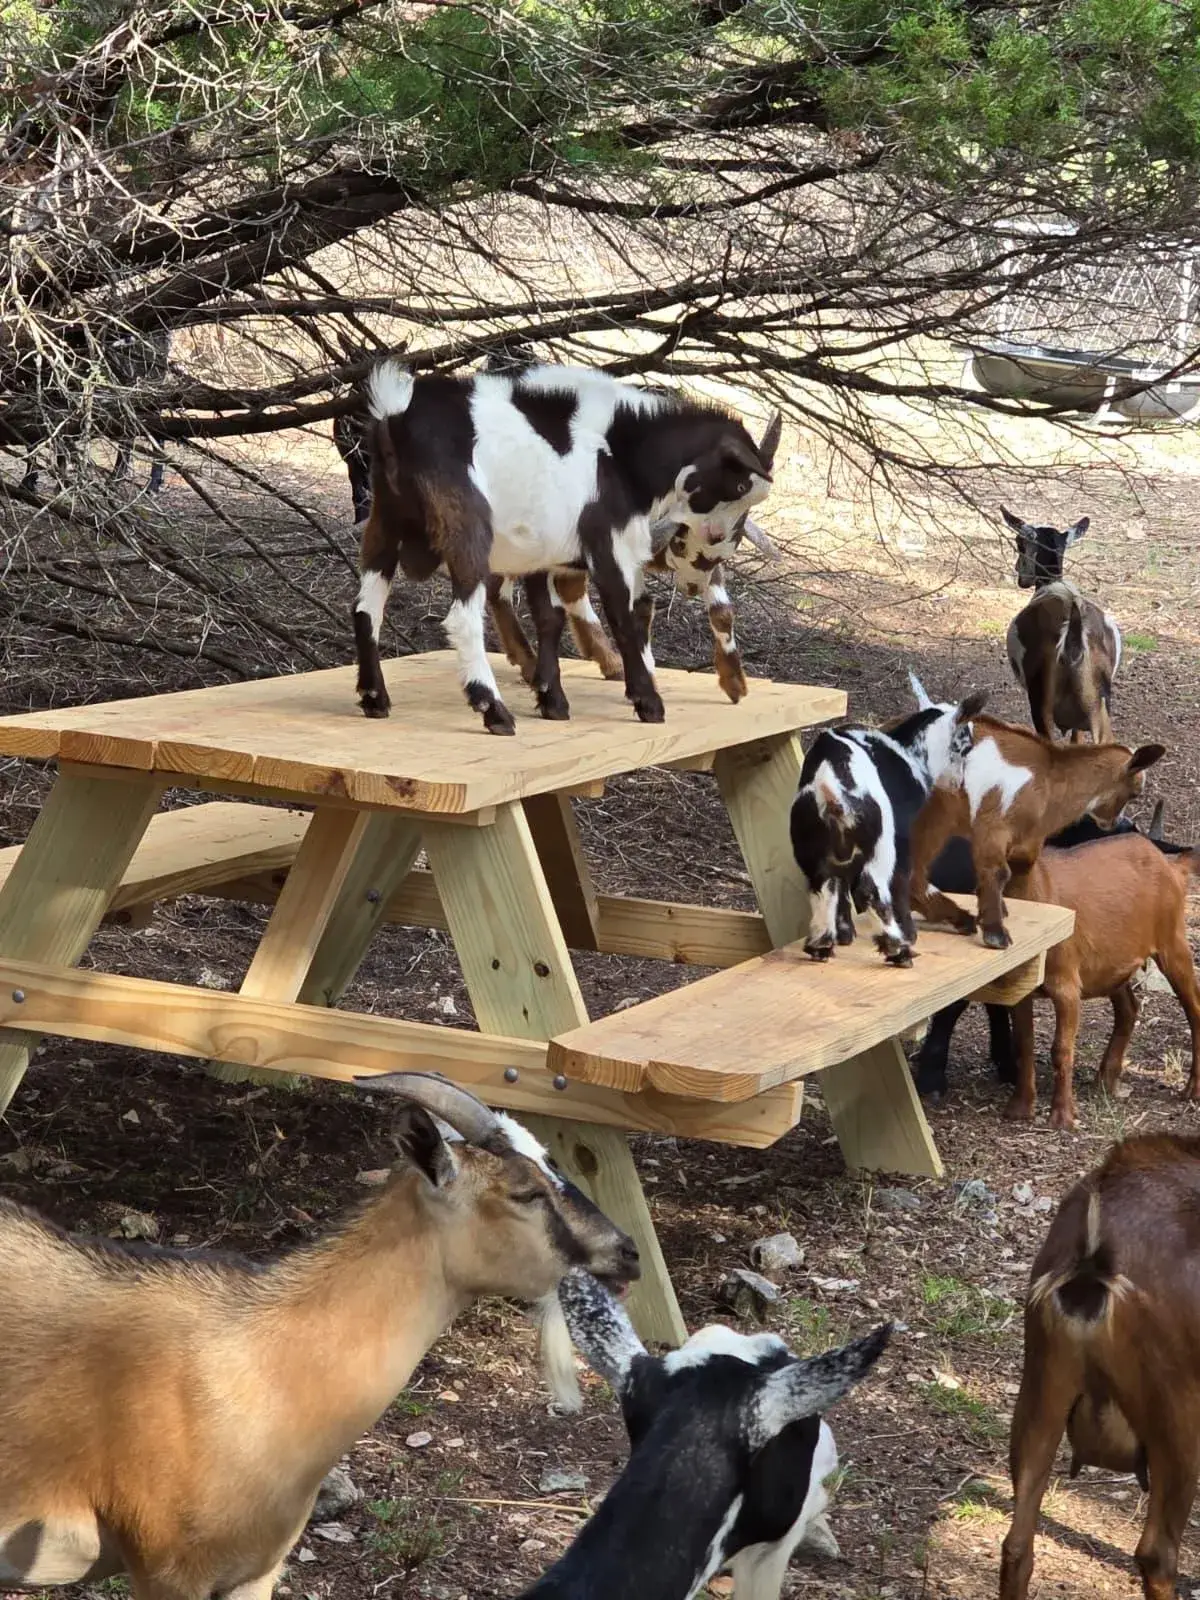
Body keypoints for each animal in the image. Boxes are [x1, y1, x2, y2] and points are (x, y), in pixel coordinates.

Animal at [352, 359, 778, 733]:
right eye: (741, 484)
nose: (718, 542)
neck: (621, 453)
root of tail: (397, 416)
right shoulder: (608, 545)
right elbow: (625, 617)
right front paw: (648, 703)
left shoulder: (548, 553)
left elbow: (550, 618)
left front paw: (552, 700)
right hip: (467, 530)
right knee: (462, 618)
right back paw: (494, 711)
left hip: (383, 524)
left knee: (365, 609)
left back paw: (375, 698)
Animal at [789, 686, 987, 965]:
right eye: (966, 748)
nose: (960, 784)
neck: (909, 751)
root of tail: (830, 785)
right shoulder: (905, 843)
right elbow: (906, 885)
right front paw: (912, 933)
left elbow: (840, 889)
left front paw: (845, 935)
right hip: (880, 847)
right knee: (872, 891)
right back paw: (898, 950)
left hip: (811, 849)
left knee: (822, 887)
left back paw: (821, 946)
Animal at [909, 714, 1166, 949]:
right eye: (1135, 792)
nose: (1113, 823)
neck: (1050, 779)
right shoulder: (994, 824)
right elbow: (998, 872)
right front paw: (996, 933)